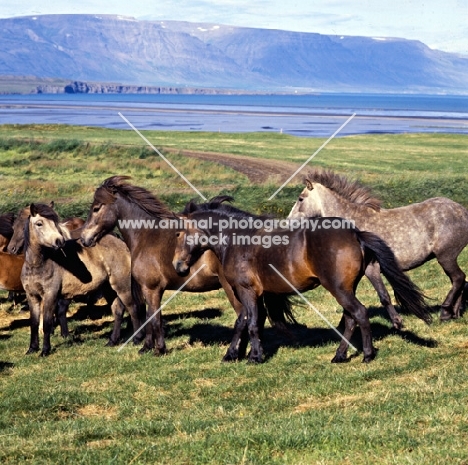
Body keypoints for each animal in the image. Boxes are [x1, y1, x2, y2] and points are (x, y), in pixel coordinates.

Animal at [20, 202, 144, 356]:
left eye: (55, 222)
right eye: (39, 223)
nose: (59, 241)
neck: (37, 264)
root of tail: (120, 242)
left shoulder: (50, 295)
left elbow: (47, 323)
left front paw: (45, 350)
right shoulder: (32, 296)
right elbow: (34, 323)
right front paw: (32, 349)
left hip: (122, 286)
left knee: (132, 308)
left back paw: (137, 339)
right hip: (108, 288)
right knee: (118, 311)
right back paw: (112, 341)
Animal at [78, 176, 294, 358]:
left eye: (96, 208)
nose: (83, 238)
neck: (147, 236)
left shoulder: (151, 289)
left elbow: (154, 318)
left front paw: (157, 349)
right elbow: (151, 317)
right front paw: (148, 347)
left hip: (233, 288)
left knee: (246, 316)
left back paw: (236, 353)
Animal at [172, 201, 432, 364]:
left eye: (178, 233)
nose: (178, 266)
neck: (238, 241)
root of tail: (355, 233)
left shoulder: (247, 291)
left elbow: (252, 324)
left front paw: (254, 357)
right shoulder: (250, 294)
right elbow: (242, 323)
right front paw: (233, 354)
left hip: (339, 289)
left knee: (359, 314)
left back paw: (367, 354)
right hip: (347, 289)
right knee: (350, 319)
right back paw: (339, 356)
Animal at [288, 169, 468, 324]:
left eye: (300, 198)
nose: (288, 222)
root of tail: (462, 211)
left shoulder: (372, 268)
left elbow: (384, 296)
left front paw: (397, 321)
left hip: (446, 256)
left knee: (459, 278)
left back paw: (445, 312)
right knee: (459, 281)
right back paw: (455, 313)